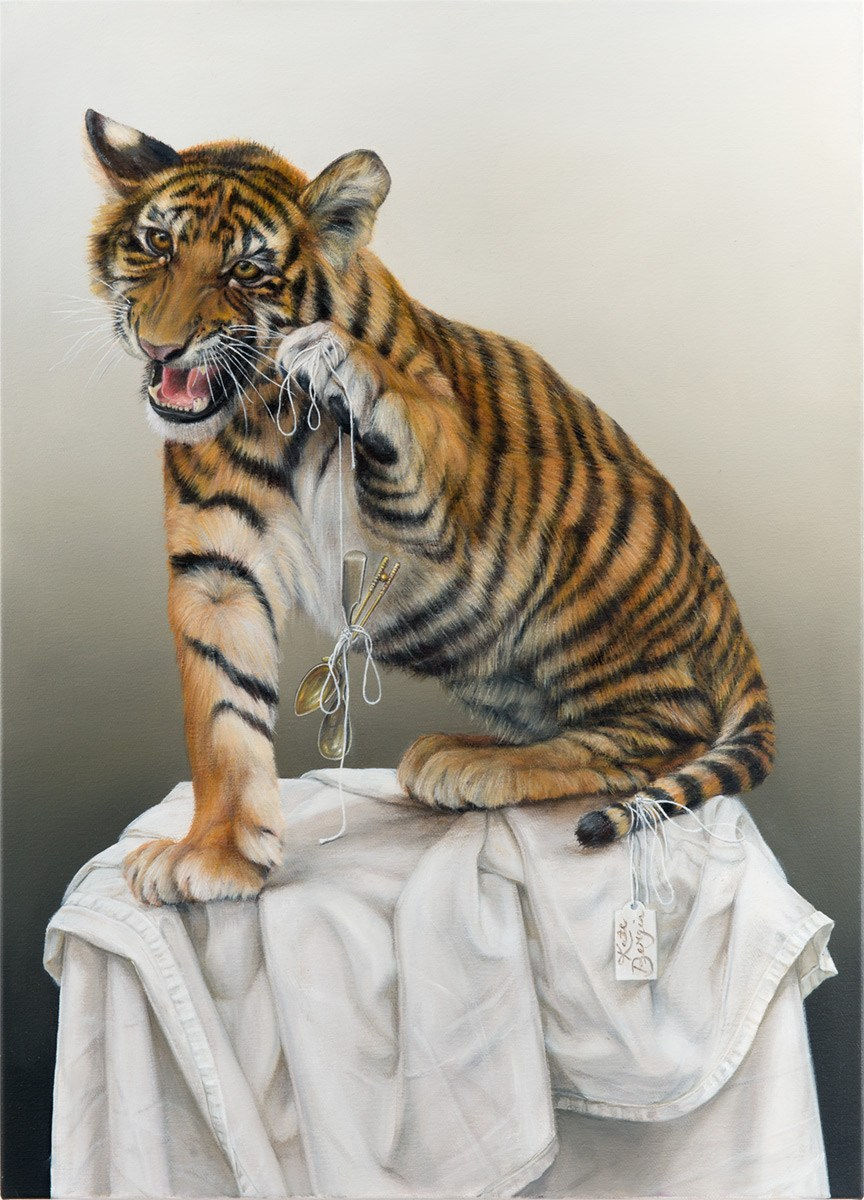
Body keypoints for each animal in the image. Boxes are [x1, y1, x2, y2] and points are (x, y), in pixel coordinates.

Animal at [85, 109, 775, 905]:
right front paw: (216, 854)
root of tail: (730, 620)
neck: (262, 415)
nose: (162, 346)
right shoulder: (218, 574)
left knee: (667, 734)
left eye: (246, 270)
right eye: (157, 243)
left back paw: (481, 765)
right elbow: (223, 718)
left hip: (597, 587)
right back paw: (461, 751)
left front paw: (336, 358)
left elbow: (407, 411)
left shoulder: (435, 504)